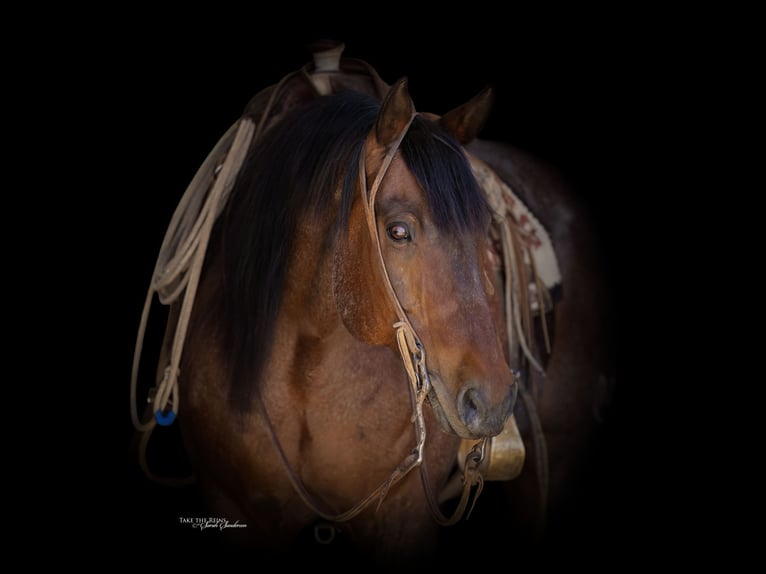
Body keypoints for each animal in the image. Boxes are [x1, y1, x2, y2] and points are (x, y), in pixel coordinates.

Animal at [130, 43, 616, 568]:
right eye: (398, 230)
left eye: (487, 228)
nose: (491, 400)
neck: (305, 368)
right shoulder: (235, 509)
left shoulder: (401, 520)